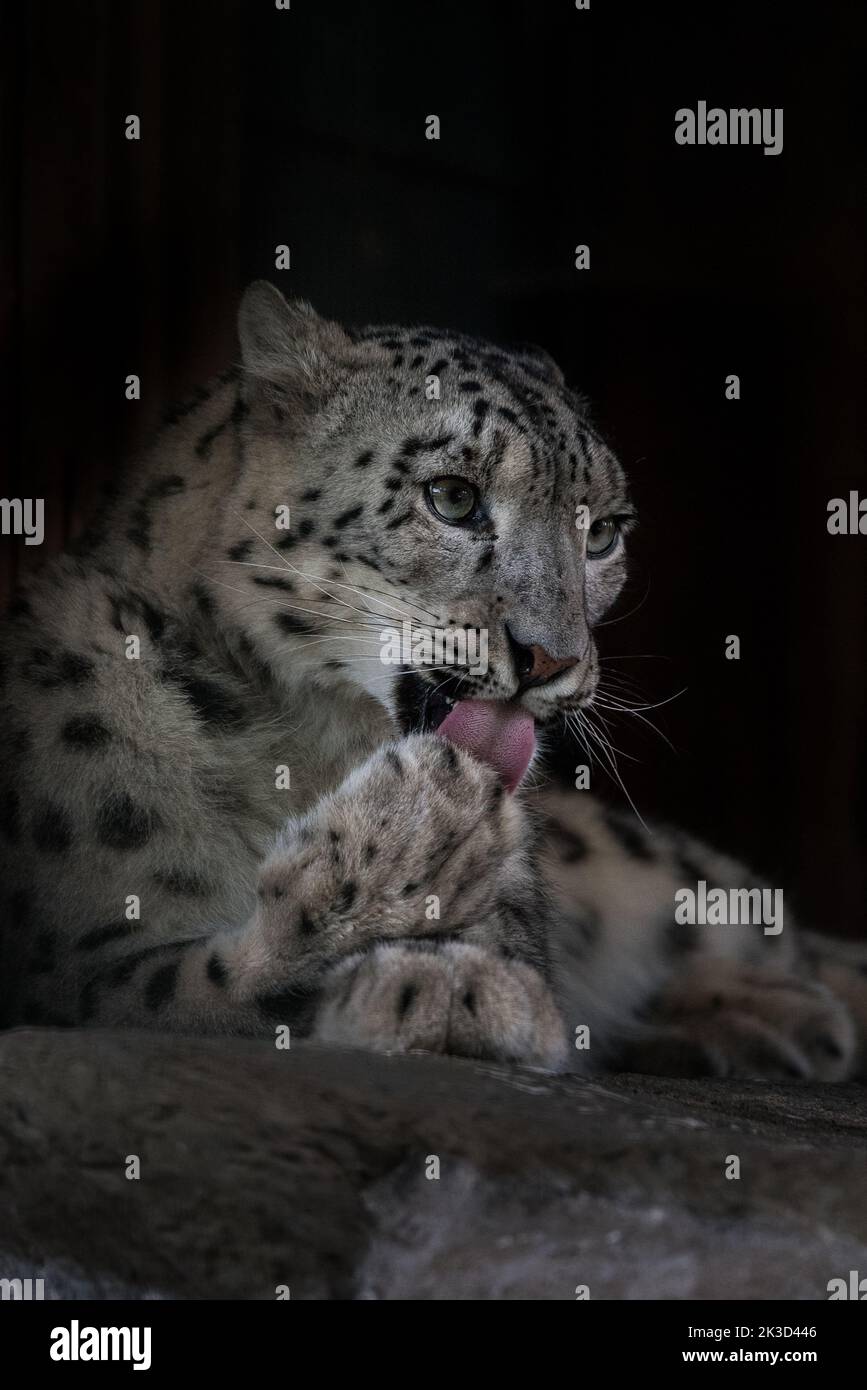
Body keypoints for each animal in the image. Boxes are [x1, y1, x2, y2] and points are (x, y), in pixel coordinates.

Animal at [1, 282, 867, 1078]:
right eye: (451, 496)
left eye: (602, 533)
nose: (551, 658)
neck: (305, 744)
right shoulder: (77, 964)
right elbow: (185, 985)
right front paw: (414, 858)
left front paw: (451, 952)